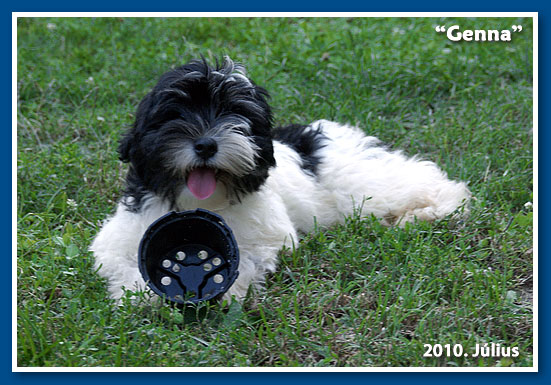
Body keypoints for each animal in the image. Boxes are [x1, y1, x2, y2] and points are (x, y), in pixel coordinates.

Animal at [90, 57, 470, 304]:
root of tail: (324, 135)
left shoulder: (270, 235)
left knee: (430, 183)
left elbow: (251, 257)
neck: (200, 201)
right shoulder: (119, 238)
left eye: (236, 115)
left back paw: (425, 213)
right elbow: (119, 263)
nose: (206, 144)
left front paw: (228, 290)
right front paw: (143, 294)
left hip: (362, 188)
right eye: (174, 114)